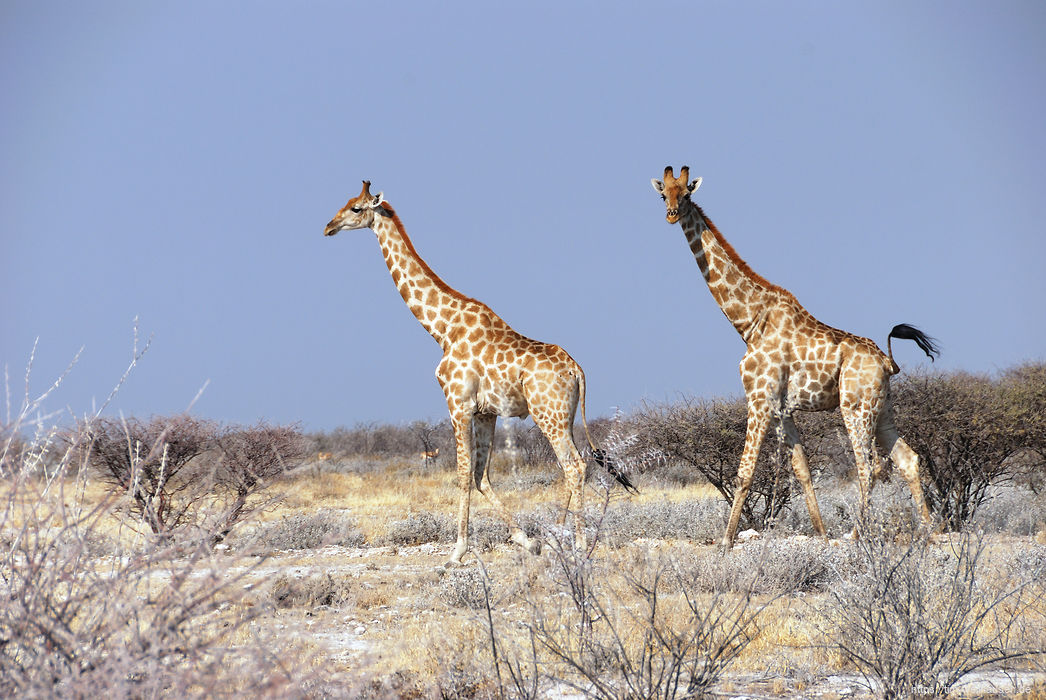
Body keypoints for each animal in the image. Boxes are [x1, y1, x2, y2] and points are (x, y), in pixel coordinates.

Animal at [322, 182, 631, 569]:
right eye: (346, 203)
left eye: (356, 208)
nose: (328, 227)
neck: (442, 328)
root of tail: (577, 369)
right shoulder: (486, 412)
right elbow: (481, 475)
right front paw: (526, 541)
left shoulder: (457, 404)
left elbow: (463, 475)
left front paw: (457, 552)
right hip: (566, 415)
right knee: (572, 466)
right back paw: (554, 539)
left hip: (549, 415)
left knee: (574, 466)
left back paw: (575, 544)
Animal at [652, 166, 941, 548]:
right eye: (663, 194)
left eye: (685, 194)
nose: (671, 214)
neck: (749, 322)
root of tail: (887, 362)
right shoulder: (781, 408)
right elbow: (802, 470)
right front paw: (820, 533)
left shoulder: (759, 399)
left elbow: (744, 472)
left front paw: (726, 542)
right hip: (882, 409)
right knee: (908, 459)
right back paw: (929, 531)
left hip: (855, 407)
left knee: (869, 466)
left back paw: (856, 533)